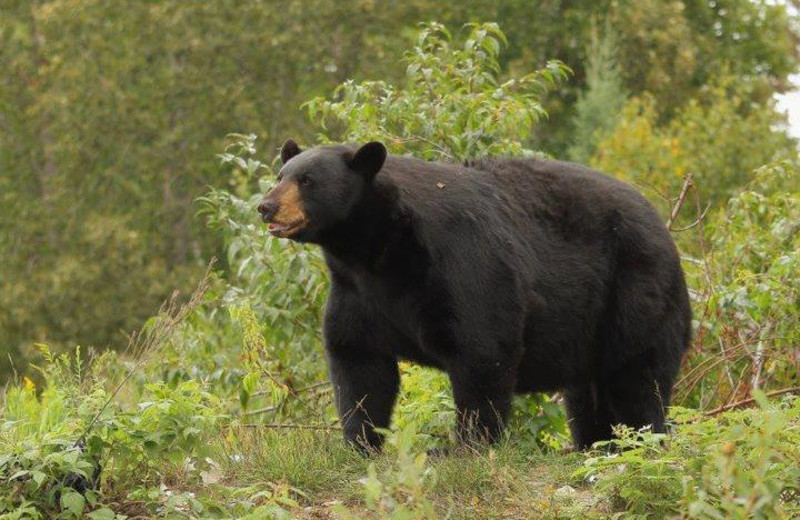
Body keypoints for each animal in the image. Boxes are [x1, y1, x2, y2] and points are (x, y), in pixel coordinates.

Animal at [260, 139, 692, 450]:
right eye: (281, 174)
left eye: (307, 180)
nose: (266, 206)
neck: (378, 250)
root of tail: (665, 232)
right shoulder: (357, 293)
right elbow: (359, 362)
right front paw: (360, 444)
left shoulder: (463, 261)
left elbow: (483, 348)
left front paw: (469, 445)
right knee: (587, 395)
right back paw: (594, 445)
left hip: (635, 292)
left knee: (638, 380)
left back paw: (639, 442)